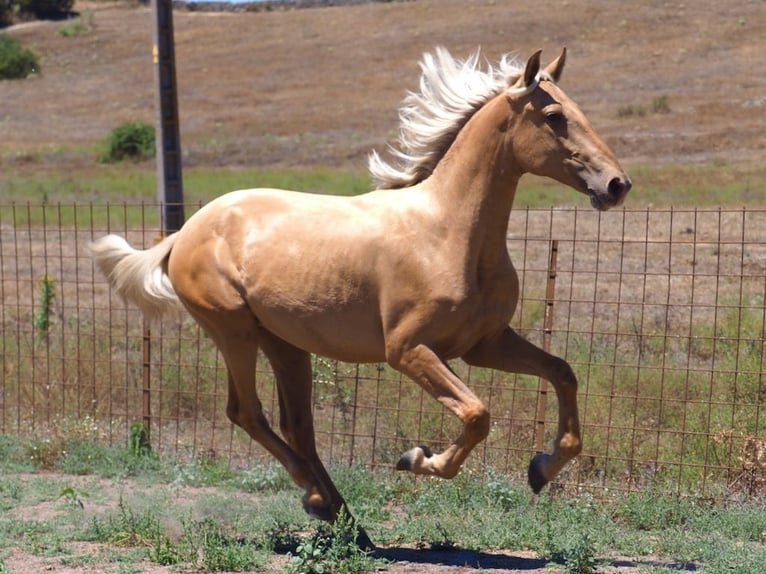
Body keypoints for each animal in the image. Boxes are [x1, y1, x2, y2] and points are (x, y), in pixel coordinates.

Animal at [91, 47, 632, 548]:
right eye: (554, 116)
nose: (617, 184)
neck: (447, 232)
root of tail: (183, 233)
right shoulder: (408, 351)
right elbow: (477, 415)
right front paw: (416, 459)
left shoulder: (486, 344)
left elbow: (562, 373)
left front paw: (540, 469)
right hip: (234, 332)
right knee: (247, 413)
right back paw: (317, 499)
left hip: (284, 344)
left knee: (297, 426)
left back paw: (343, 518)